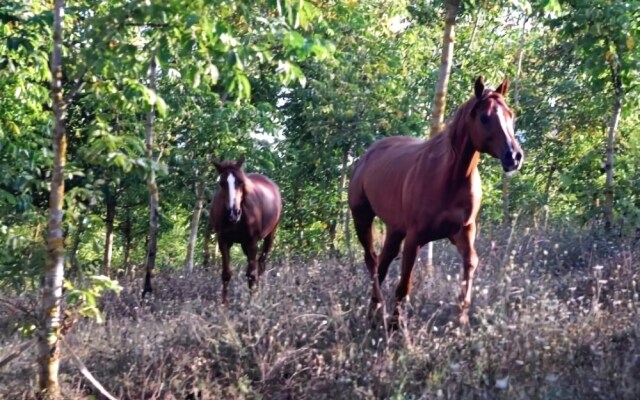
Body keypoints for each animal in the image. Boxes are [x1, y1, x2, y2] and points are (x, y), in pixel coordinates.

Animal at [210, 156, 282, 306]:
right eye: (221, 183)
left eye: (240, 182)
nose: (233, 212)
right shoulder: (223, 241)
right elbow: (226, 273)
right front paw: (224, 305)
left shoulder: (252, 242)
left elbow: (251, 274)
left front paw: (252, 302)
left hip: (269, 236)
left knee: (260, 265)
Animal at [350, 76, 524, 328]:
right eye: (485, 117)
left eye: (510, 114)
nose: (514, 156)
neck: (450, 178)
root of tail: (366, 155)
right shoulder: (415, 237)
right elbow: (404, 284)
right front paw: (395, 324)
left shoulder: (463, 231)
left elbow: (470, 263)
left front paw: (460, 317)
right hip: (362, 218)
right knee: (372, 261)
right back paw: (379, 309)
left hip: (394, 229)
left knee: (382, 263)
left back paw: (373, 313)